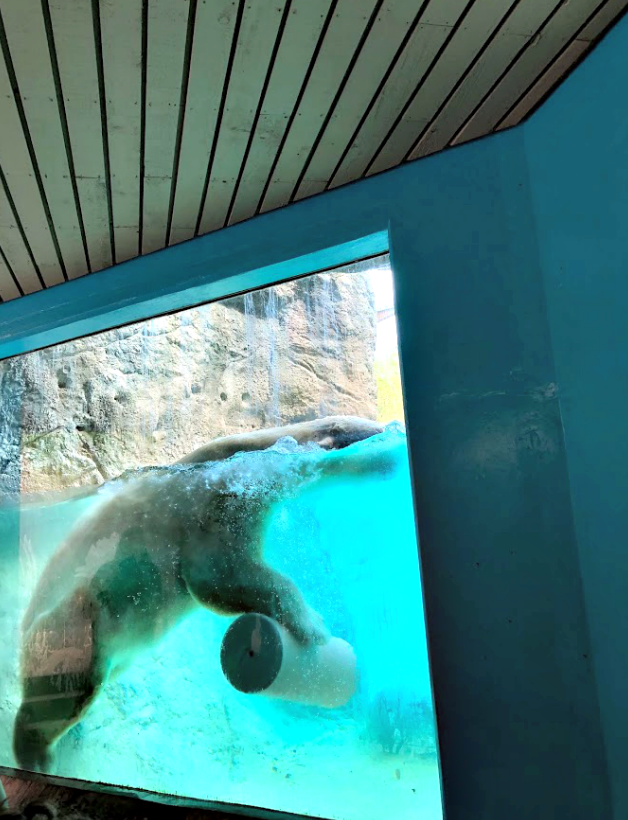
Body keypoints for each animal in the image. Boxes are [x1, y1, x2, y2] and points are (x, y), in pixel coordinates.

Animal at [13, 416, 402, 768]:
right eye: (374, 430)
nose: (392, 443)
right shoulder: (213, 505)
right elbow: (217, 576)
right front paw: (314, 625)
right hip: (73, 616)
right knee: (73, 678)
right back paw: (37, 752)